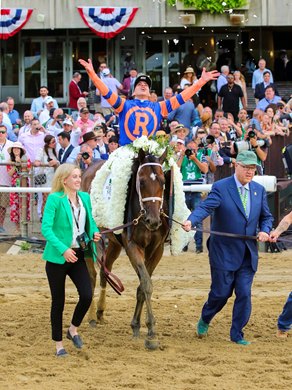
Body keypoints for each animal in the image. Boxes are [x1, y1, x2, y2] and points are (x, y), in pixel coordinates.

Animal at [81, 148, 170, 348]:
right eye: (141, 181)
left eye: (163, 181)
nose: (153, 220)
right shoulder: (132, 246)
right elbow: (146, 284)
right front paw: (151, 332)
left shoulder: (157, 250)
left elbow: (142, 285)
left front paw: (137, 326)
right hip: (89, 239)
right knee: (91, 276)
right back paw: (91, 316)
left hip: (114, 243)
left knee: (105, 270)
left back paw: (100, 312)